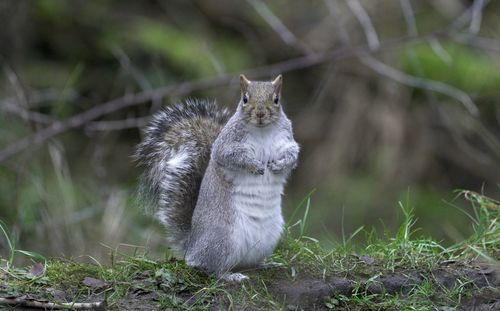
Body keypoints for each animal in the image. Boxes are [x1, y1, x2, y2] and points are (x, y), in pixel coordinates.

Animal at [133, 75, 298, 282]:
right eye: (245, 99)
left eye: (276, 99)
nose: (260, 114)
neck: (263, 130)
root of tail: (192, 246)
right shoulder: (226, 145)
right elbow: (231, 156)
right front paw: (255, 165)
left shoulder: (286, 142)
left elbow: (292, 156)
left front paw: (278, 166)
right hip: (223, 240)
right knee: (212, 268)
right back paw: (230, 276)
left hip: (268, 238)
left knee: (248, 263)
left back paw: (265, 264)